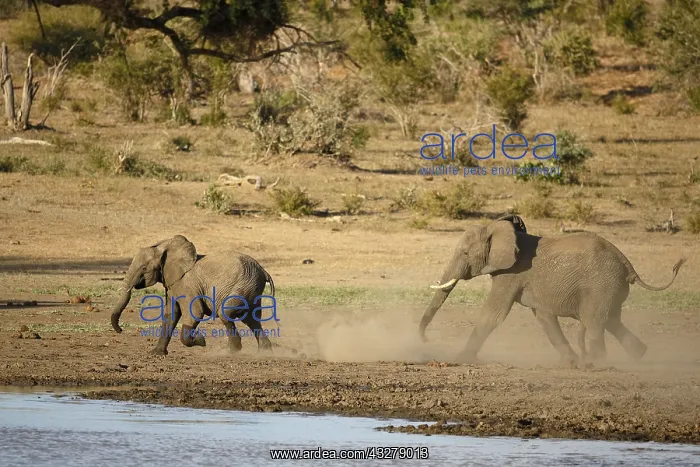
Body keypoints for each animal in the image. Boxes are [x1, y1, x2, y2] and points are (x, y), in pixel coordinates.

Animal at [110, 235, 276, 356]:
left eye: (144, 268)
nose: (120, 330)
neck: (165, 248)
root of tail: (263, 271)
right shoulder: (173, 284)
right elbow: (171, 315)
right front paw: (156, 354)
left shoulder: (187, 285)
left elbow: (195, 312)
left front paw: (201, 341)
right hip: (252, 287)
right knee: (252, 319)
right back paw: (265, 352)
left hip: (245, 285)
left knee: (227, 314)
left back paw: (234, 351)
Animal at [419, 216, 685, 367]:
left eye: (465, 253)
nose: (425, 340)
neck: (498, 229)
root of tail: (629, 266)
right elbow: (545, 318)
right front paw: (569, 363)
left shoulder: (511, 274)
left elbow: (493, 315)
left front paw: (461, 359)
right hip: (610, 289)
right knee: (611, 321)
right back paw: (637, 355)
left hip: (601, 286)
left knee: (596, 323)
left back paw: (598, 364)